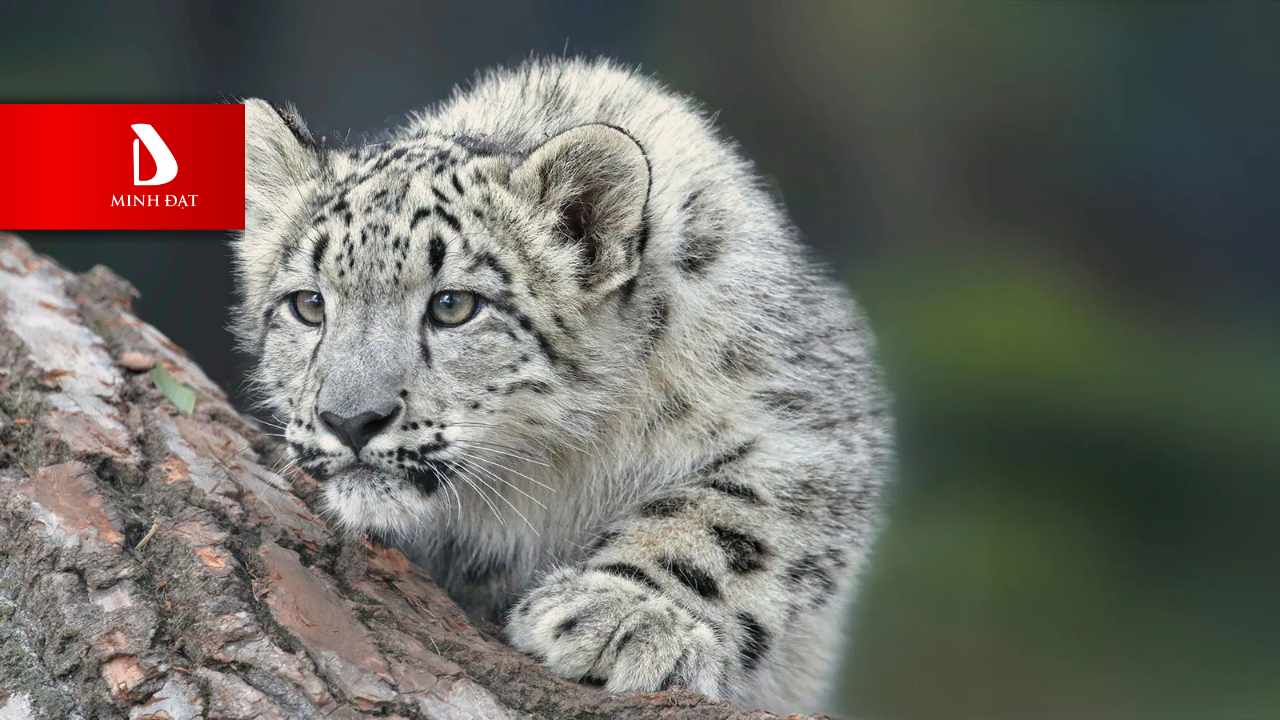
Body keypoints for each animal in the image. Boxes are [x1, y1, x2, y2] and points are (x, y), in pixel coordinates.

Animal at [234, 56, 893, 714]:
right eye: (309, 305)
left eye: (452, 305)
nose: (350, 421)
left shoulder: (804, 423)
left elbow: (730, 517)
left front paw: (624, 617)